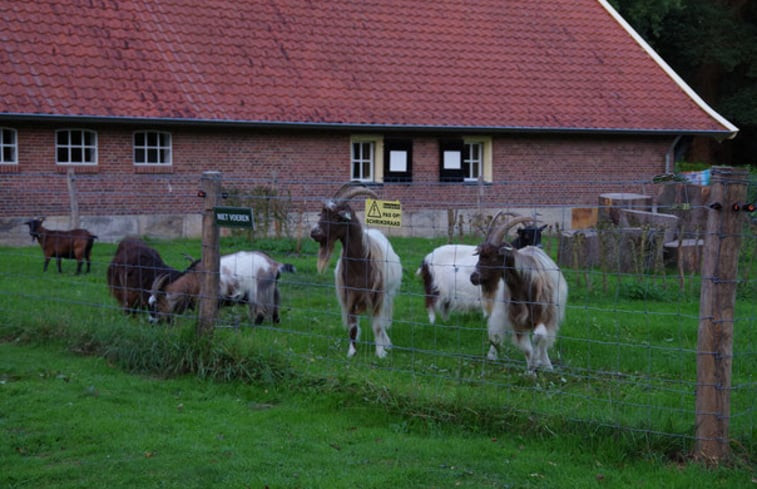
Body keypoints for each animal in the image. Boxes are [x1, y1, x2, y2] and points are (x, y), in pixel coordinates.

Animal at [308, 181, 402, 356]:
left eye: (337, 216)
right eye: (322, 214)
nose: (314, 233)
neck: (360, 264)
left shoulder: (377, 295)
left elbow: (377, 325)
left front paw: (380, 353)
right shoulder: (349, 294)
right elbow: (352, 325)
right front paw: (351, 352)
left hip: (388, 293)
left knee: (382, 319)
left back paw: (386, 342)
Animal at [466, 215, 568, 372]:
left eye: (493, 256)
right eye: (480, 255)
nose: (474, 278)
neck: (526, 287)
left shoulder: (545, 317)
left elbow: (539, 338)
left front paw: (539, 362)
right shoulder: (516, 320)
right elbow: (526, 348)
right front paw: (531, 370)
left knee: (544, 342)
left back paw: (547, 365)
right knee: (496, 334)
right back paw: (492, 356)